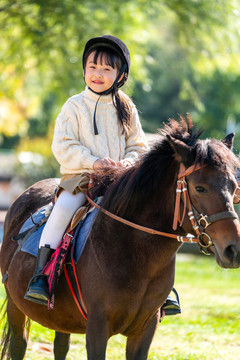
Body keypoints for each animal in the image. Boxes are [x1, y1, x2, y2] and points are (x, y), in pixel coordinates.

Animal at [1, 116, 240, 358]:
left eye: (234, 187)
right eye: (200, 188)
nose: (234, 250)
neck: (134, 252)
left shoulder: (145, 330)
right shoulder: (97, 327)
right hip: (15, 305)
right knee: (19, 345)